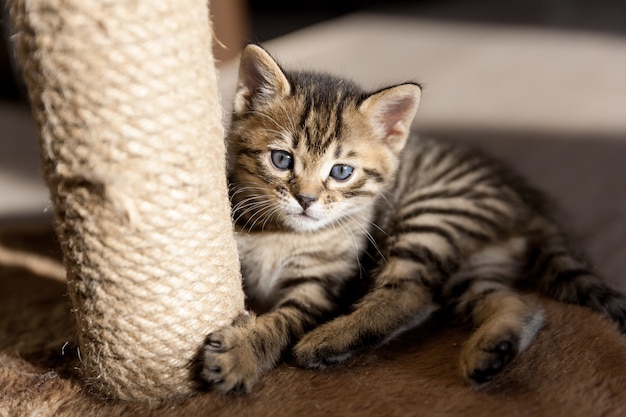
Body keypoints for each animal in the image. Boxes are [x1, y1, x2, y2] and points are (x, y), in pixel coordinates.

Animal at [200, 44, 624, 392]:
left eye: (341, 172)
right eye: (281, 159)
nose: (305, 199)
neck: (284, 233)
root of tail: (531, 201)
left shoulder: (322, 285)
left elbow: (286, 317)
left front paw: (242, 352)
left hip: (433, 213)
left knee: (412, 293)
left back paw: (327, 341)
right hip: (469, 265)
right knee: (519, 303)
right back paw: (494, 349)